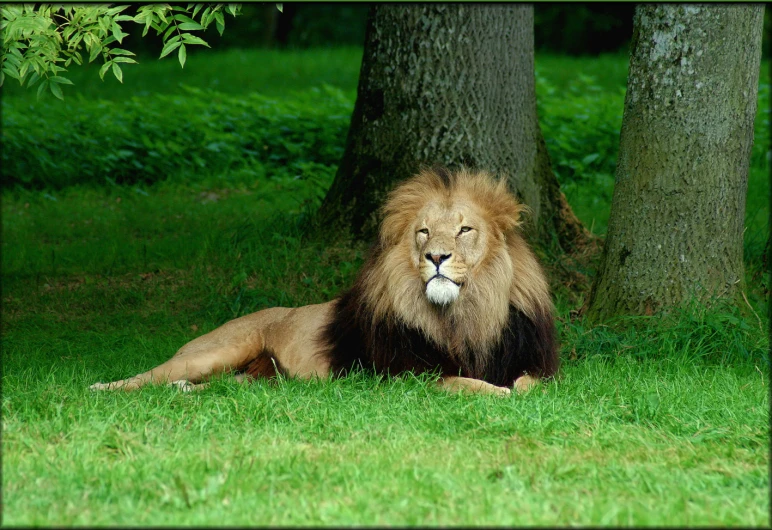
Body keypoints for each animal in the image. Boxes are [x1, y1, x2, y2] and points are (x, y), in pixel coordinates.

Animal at [90, 167, 556, 394]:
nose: (436, 257)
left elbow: (533, 386)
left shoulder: (534, 363)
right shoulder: (404, 374)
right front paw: (498, 393)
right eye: (423, 232)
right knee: (148, 375)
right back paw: (101, 387)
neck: (464, 316)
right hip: (217, 349)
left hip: (254, 378)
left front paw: (517, 390)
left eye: (464, 230)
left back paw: (186, 392)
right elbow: (466, 384)